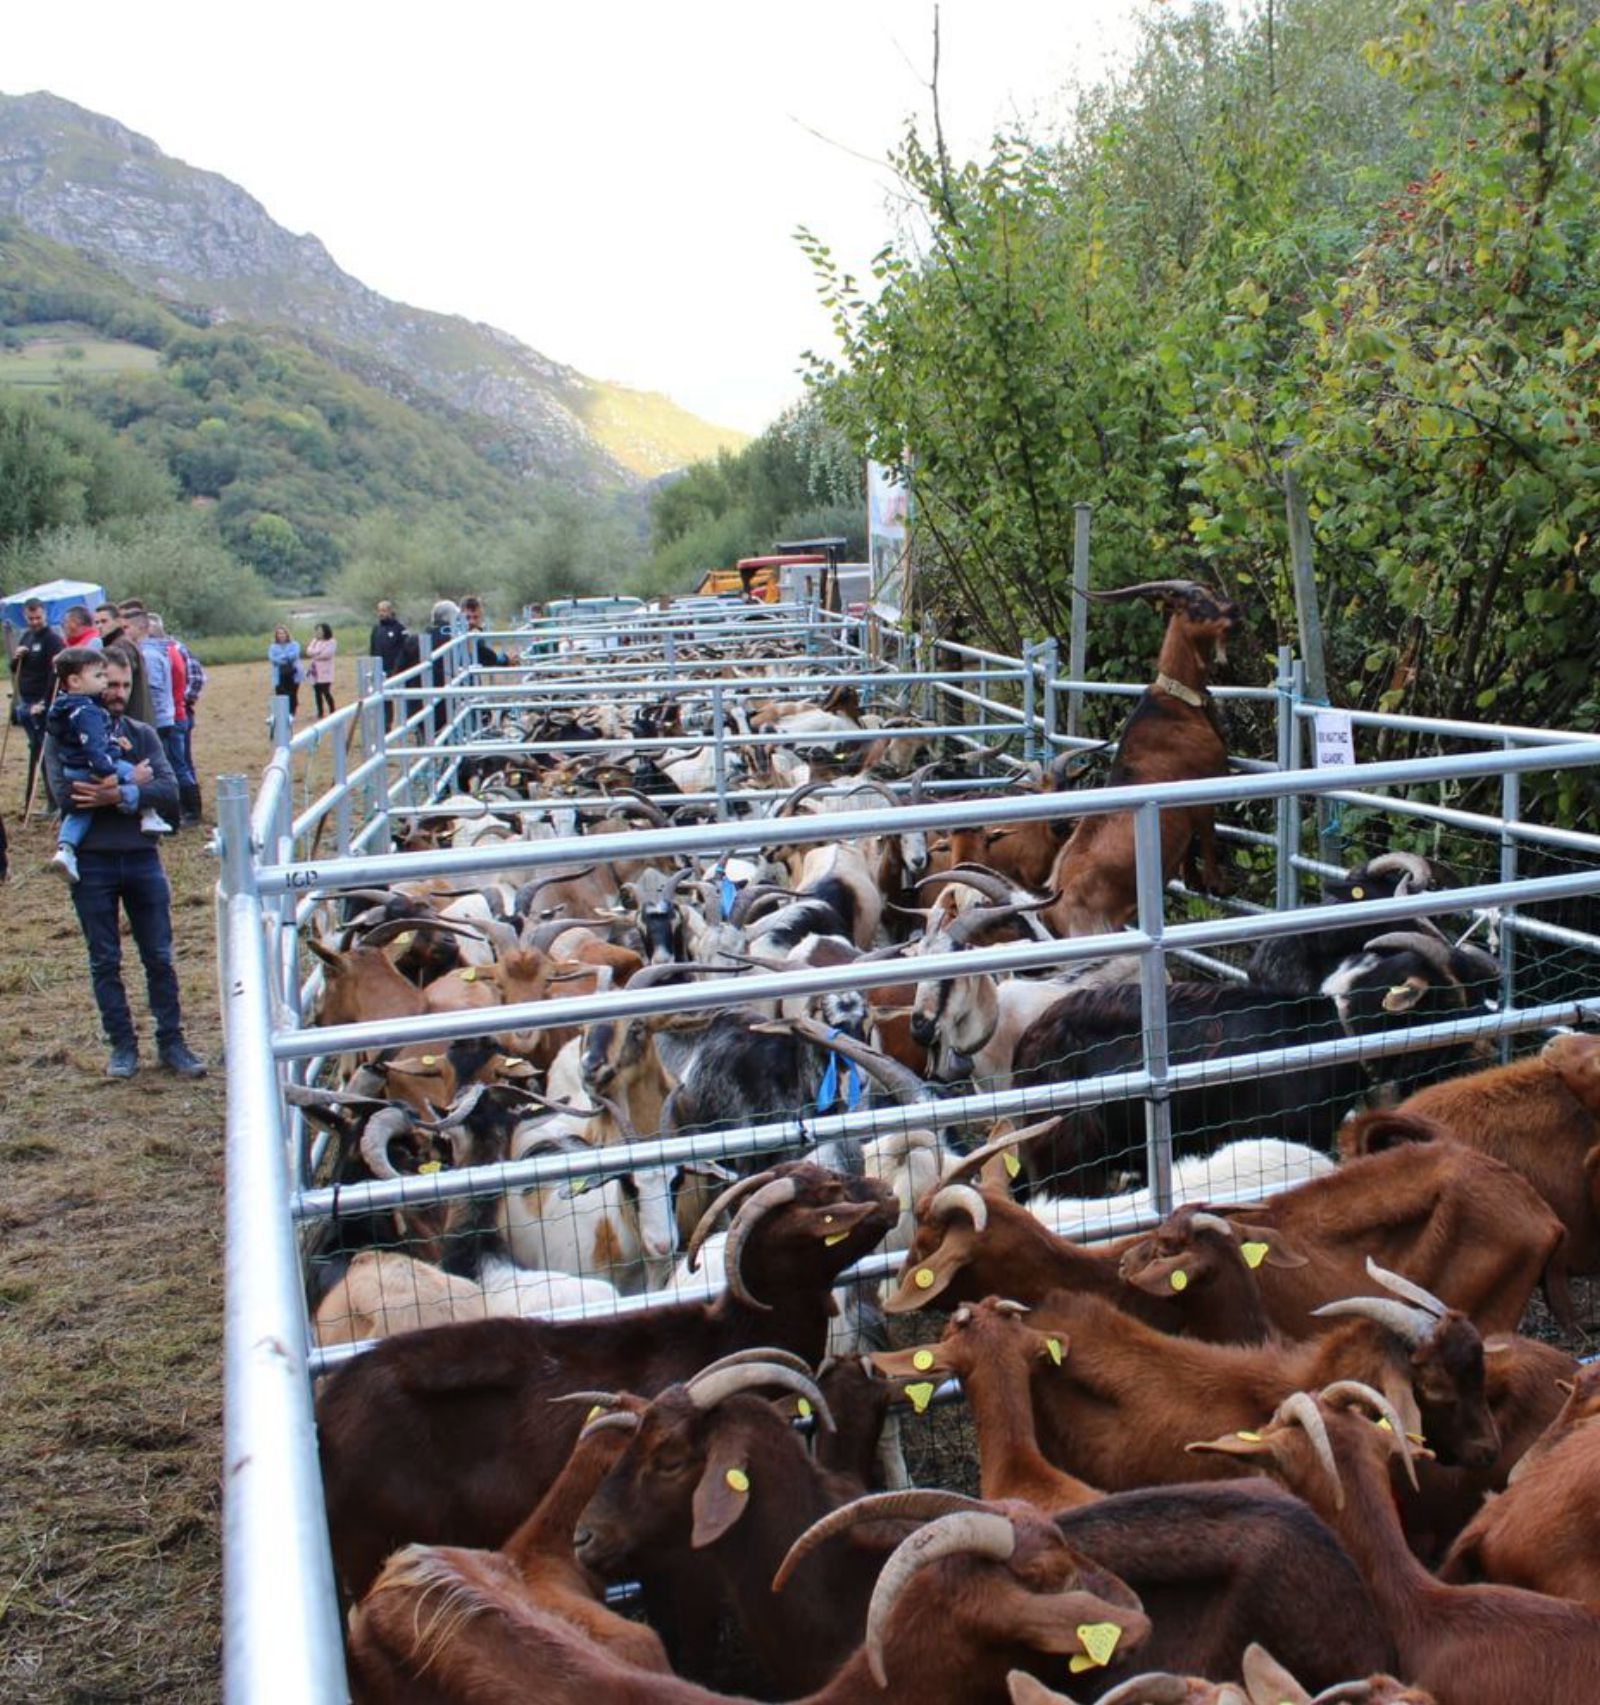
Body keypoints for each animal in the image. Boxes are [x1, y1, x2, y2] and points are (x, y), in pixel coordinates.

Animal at [1043, 583, 1241, 934]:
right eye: (1197, 602)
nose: (1236, 612)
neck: (1179, 701)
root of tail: (1051, 911)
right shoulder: (1203, 785)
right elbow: (1207, 834)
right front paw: (1220, 886)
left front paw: (1194, 882)